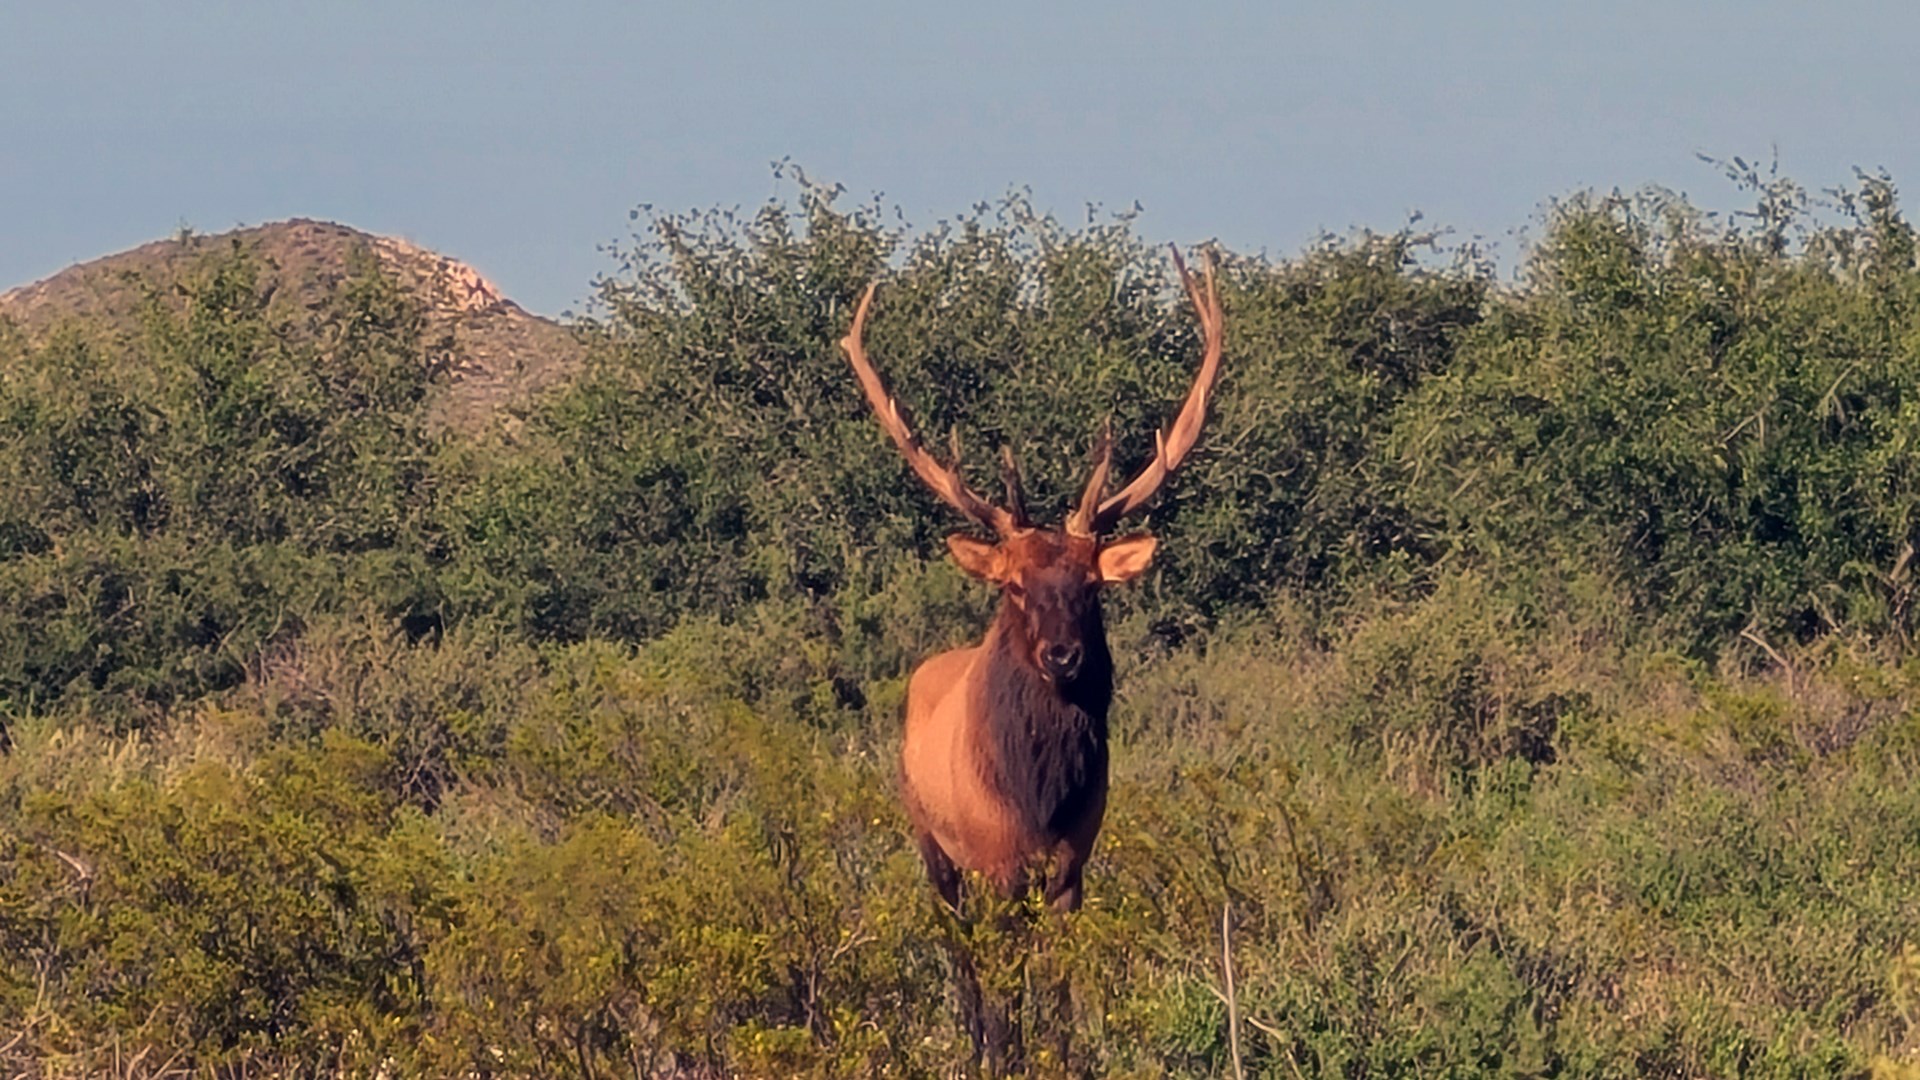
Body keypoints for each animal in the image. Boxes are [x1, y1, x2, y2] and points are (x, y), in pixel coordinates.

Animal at [839, 247, 1224, 1071]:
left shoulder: (1074, 858)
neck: (1040, 792)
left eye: (1090, 584)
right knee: (961, 949)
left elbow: (1061, 978)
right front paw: (1006, 1056)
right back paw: (973, 1040)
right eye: (1015, 585)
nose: (1063, 654)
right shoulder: (998, 860)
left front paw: (1064, 1057)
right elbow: (1008, 974)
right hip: (932, 841)